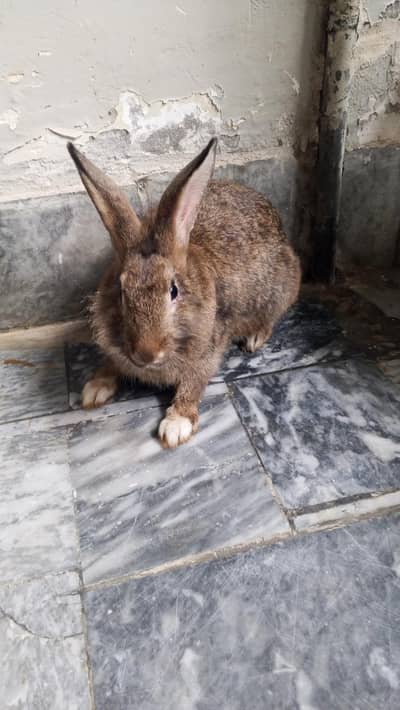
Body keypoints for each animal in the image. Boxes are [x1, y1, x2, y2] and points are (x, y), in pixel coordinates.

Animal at [67, 138, 301, 448]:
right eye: (121, 291)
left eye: (173, 291)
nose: (146, 353)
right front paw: (95, 387)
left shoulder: (207, 352)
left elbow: (194, 383)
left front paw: (176, 424)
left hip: (282, 288)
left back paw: (254, 337)